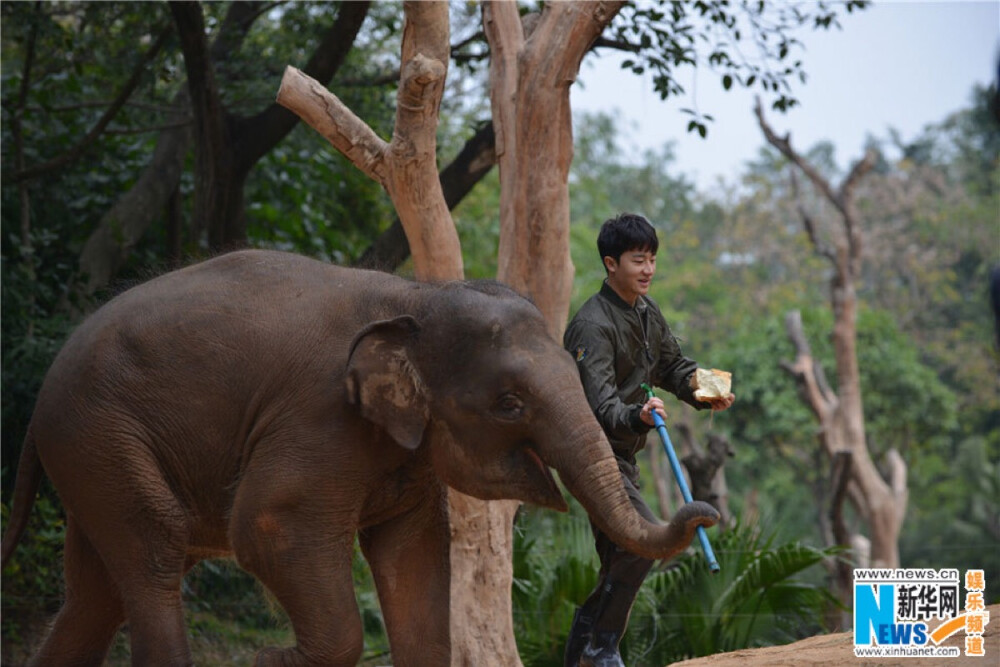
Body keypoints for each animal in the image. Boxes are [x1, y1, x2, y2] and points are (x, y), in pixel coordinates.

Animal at [1, 250, 720, 667]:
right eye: (510, 403)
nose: (707, 510)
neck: (415, 296)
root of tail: (40, 404)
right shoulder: (316, 415)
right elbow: (268, 524)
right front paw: (269, 659)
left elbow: (413, 556)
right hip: (100, 433)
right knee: (153, 554)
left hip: (93, 450)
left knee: (97, 592)